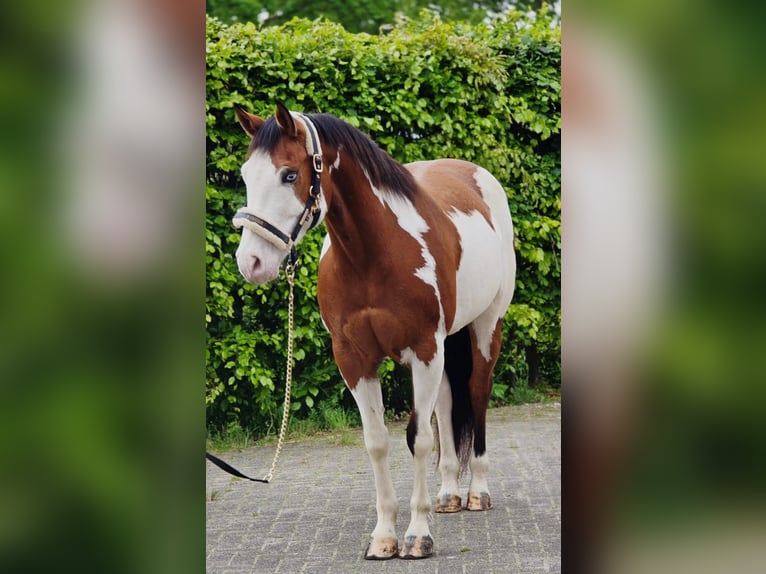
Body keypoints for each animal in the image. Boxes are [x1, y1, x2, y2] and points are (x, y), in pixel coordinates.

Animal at [231, 102, 516, 559]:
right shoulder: (354, 358)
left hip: (486, 327)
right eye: (244, 175)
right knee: (447, 403)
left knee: (476, 393)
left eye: (289, 174)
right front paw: (384, 536)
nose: (251, 262)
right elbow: (377, 441)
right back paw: (448, 493)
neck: (375, 254)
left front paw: (418, 535)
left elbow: (418, 439)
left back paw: (477, 491)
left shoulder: (424, 350)